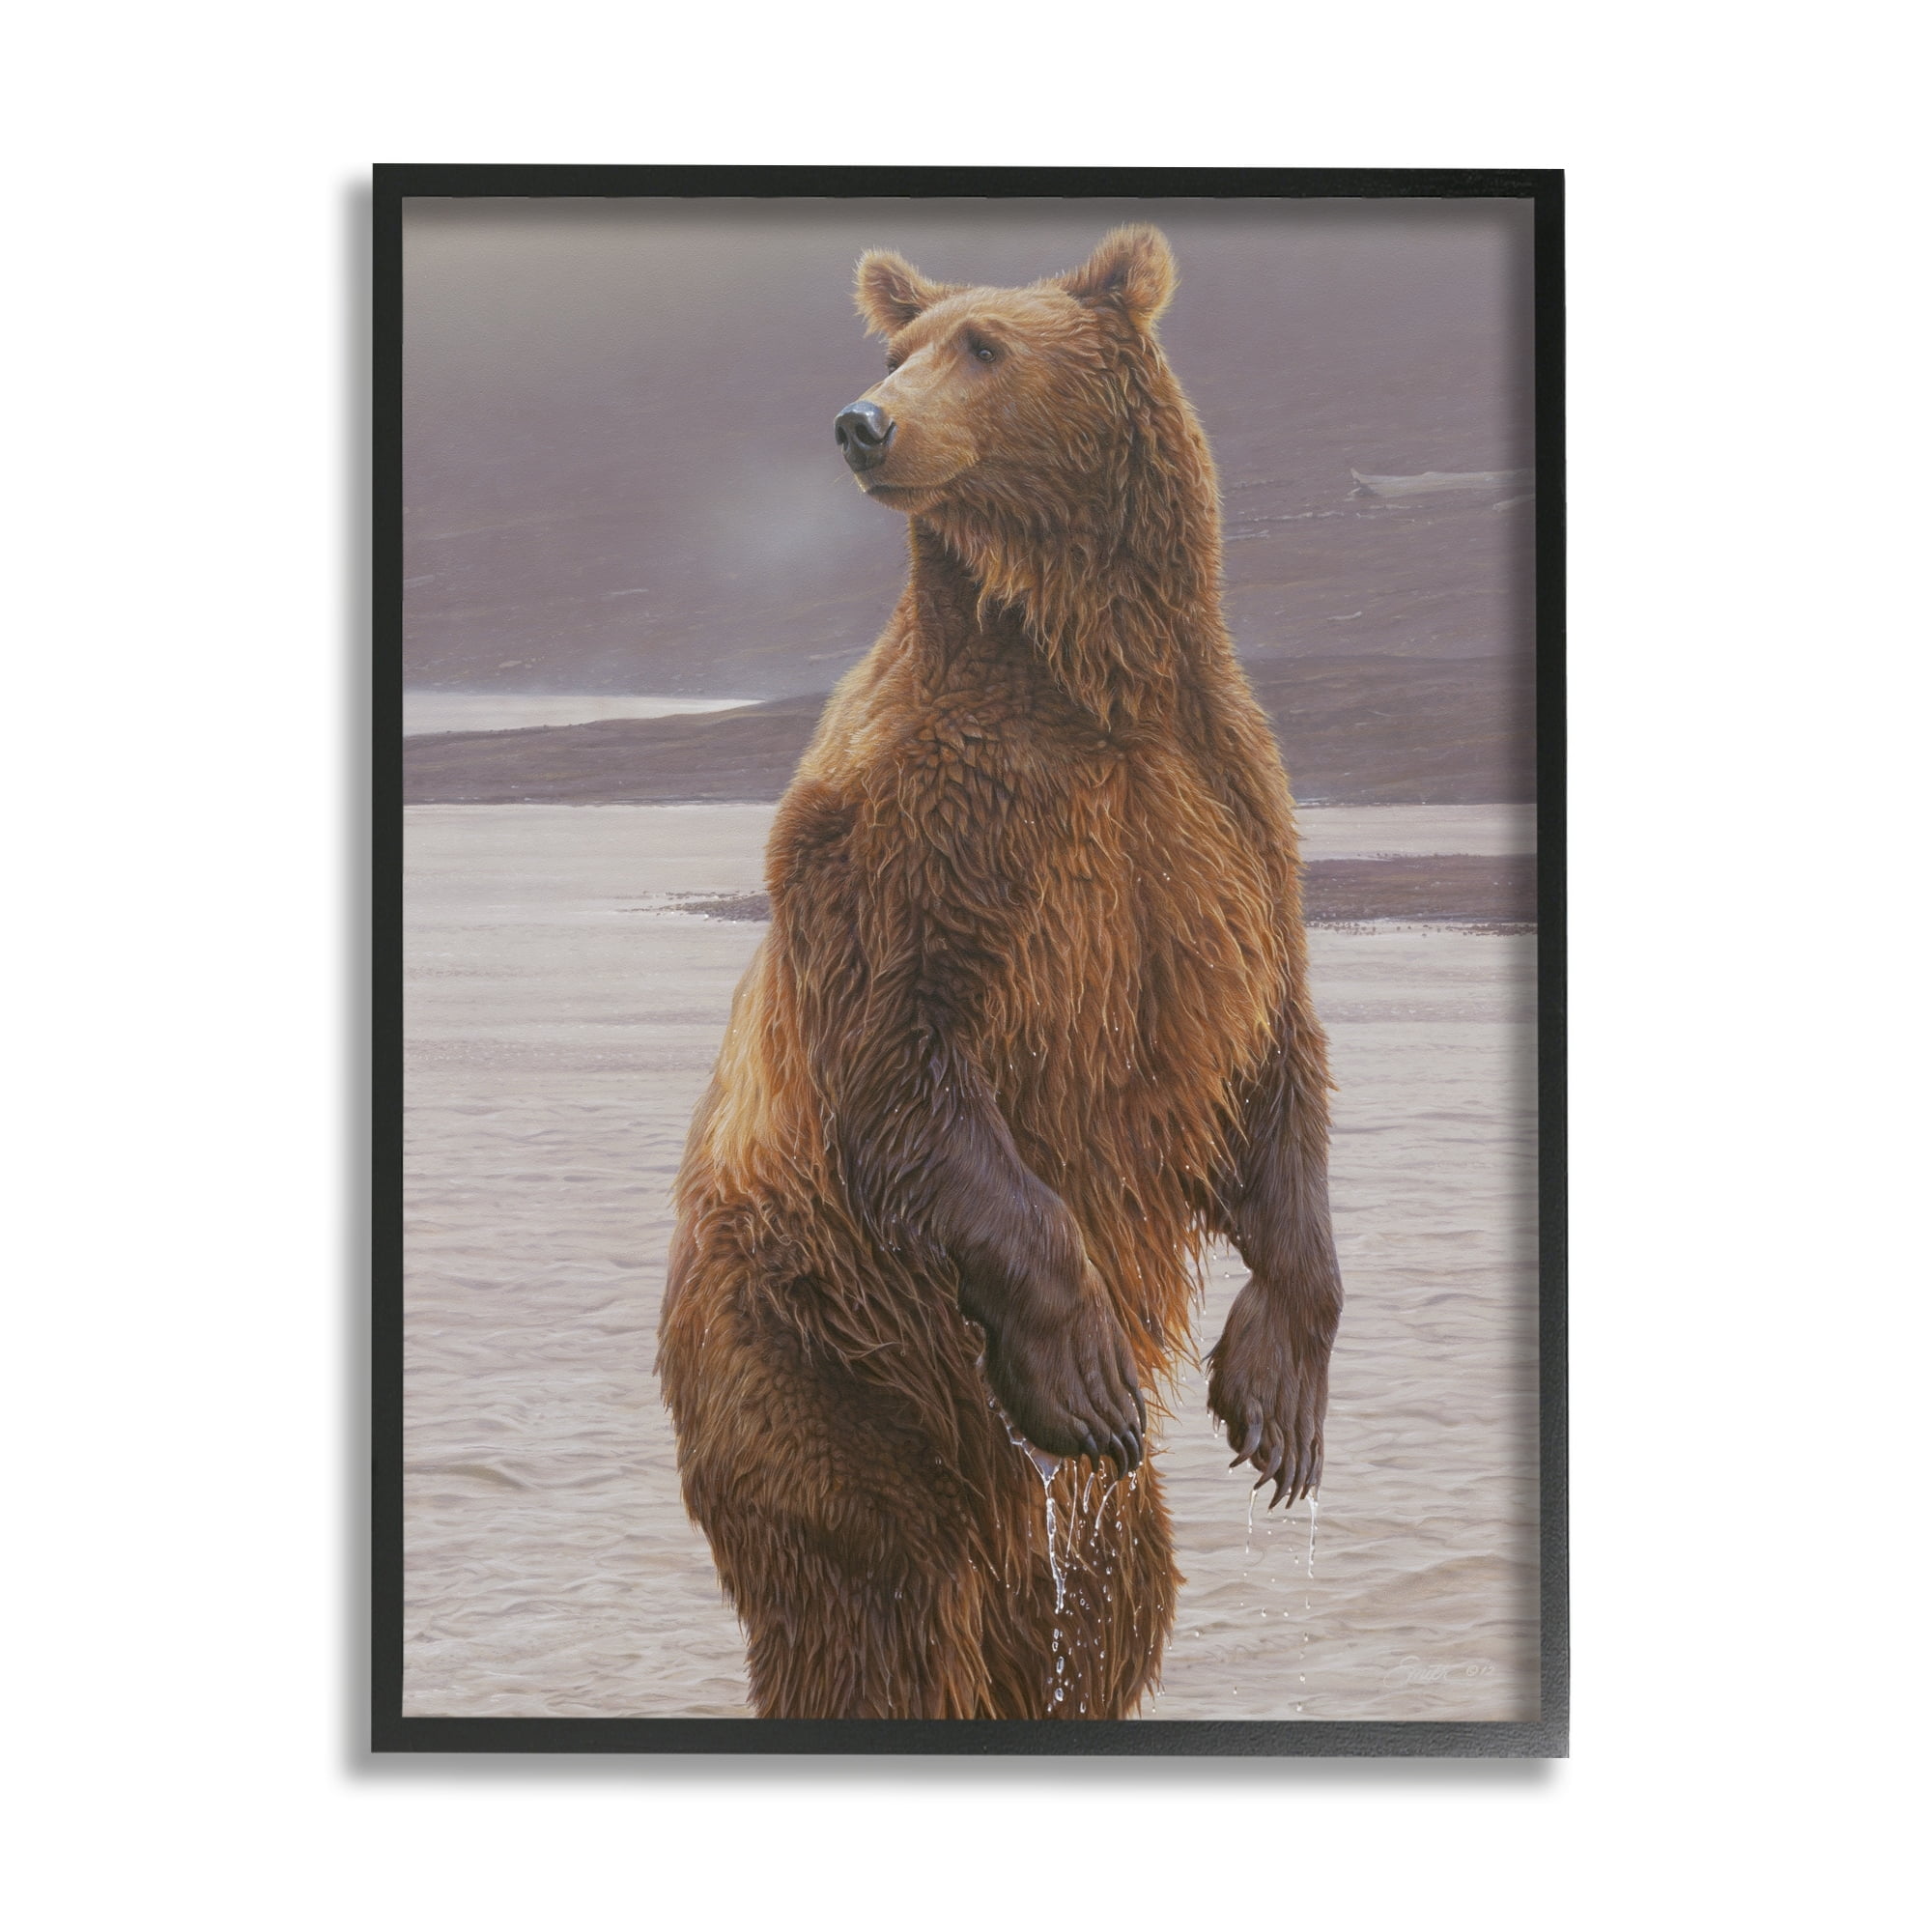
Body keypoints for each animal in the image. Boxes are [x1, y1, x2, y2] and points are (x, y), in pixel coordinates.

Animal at [657, 227, 1343, 1720]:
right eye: (898, 346)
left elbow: (1272, 1058)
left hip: (1055, 1501)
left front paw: (1280, 1395)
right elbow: (904, 1061)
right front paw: (1083, 1363)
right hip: (818, 1357)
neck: (1081, 676)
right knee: (867, 1607)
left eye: (982, 345)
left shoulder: (1224, 819)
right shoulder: (914, 828)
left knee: (1114, 1595)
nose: (861, 422)